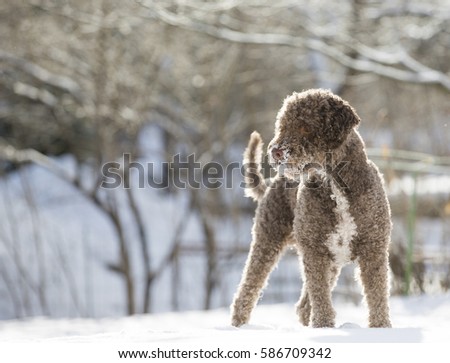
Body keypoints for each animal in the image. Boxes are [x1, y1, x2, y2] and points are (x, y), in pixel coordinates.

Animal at [230, 89, 392, 330]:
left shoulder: (373, 249)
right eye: (282, 125)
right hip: (268, 241)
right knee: (248, 289)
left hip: (329, 260)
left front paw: (381, 329)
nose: (275, 151)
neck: (335, 186)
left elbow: (377, 296)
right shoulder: (314, 251)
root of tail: (271, 182)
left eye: (305, 126)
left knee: (303, 306)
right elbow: (321, 298)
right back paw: (238, 325)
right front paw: (324, 326)